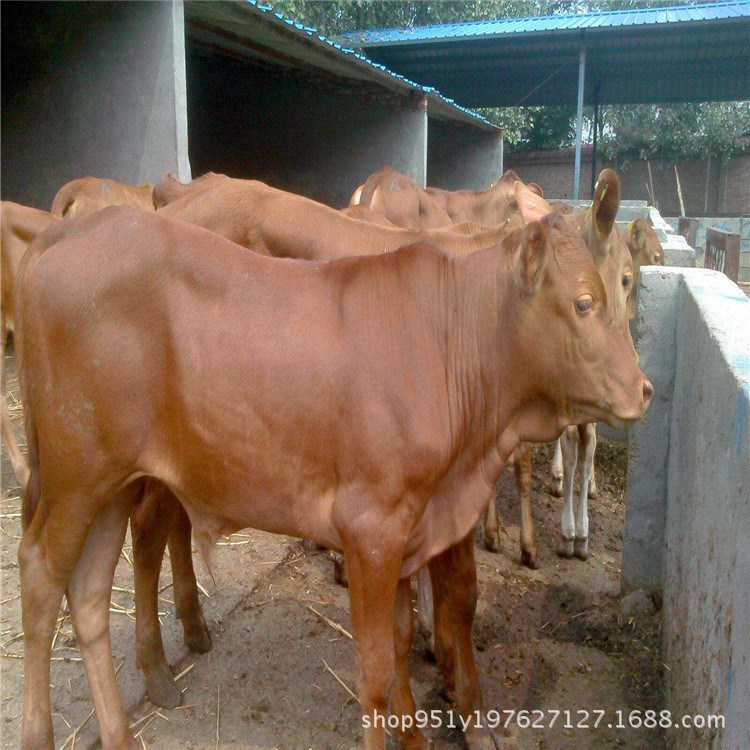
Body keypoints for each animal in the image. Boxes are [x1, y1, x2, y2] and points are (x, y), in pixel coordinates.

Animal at [17, 206, 652, 750]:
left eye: (623, 285)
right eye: (584, 303)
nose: (643, 390)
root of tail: (71, 230)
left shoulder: (409, 527)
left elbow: (400, 640)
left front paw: (415, 736)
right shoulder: (371, 528)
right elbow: (374, 670)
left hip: (113, 484)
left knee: (91, 594)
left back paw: (123, 730)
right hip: (77, 478)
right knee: (42, 579)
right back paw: (42, 732)